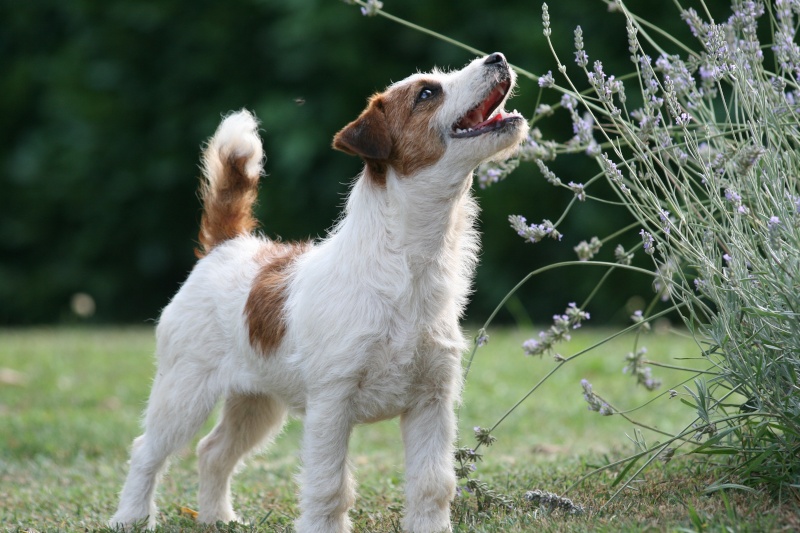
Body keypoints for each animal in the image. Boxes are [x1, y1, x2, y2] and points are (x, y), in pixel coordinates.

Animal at [109, 51, 528, 532]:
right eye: (426, 92)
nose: (497, 57)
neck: (407, 267)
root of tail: (226, 246)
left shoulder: (432, 403)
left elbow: (432, 483)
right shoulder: (332, 404)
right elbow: (329, 487)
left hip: (256, 403)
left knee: (214, 451)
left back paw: (218, 518)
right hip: (184, 394)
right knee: (148, 450)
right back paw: (130, 517)